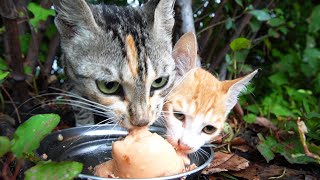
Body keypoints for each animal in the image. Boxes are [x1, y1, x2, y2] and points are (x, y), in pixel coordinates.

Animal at [53, 0, 178, 128]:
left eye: (160, 81)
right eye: (108, 85)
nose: (142, 122)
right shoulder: (70, 75)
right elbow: (80, 108)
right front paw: (84, 125)